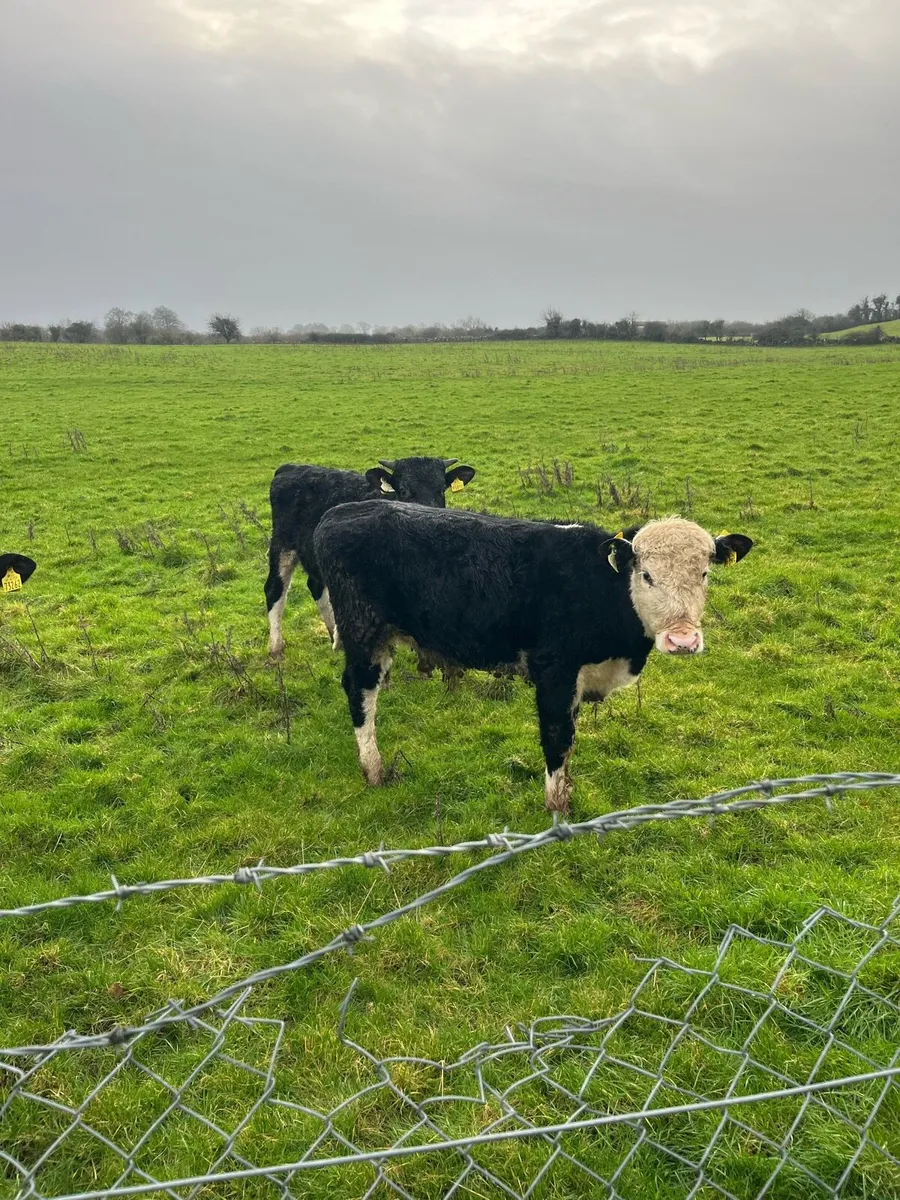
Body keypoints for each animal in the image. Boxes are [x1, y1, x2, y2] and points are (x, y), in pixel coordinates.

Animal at [264, 457, 475, 662]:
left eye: (441, 489)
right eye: (403, 490)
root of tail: (290, 467)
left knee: (315, 586)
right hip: (282, 545)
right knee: (274, 589)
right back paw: (276, 649)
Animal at [313, 506, 752, 812]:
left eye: (704, 573)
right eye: (646, 575)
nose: (683, 639)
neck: (600, 585)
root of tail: (342, 512)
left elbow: (570, 740)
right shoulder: (554, 672)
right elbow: (557, 737)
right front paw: (557, 808)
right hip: (364, 632)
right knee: (360, 691)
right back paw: (373, 769)